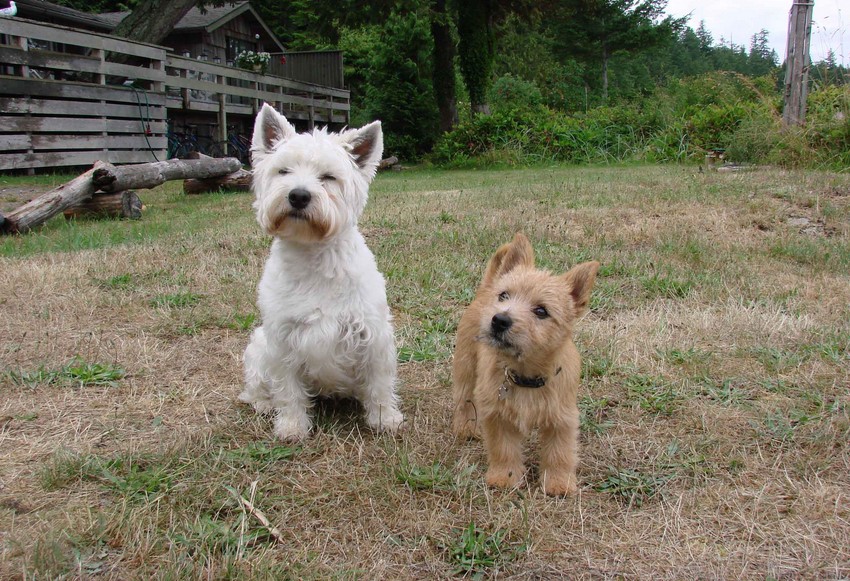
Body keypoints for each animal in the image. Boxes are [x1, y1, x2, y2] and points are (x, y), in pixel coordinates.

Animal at [238, 104, 404, 440]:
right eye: (283, 171)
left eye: (328, 177)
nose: (298, 196)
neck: (314, 255)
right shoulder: (282, 339)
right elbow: (288, 389)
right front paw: (292, 425)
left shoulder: (372, 333)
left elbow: (379, 382)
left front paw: (385, 418)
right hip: (258, 345)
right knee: (255, 386)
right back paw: (263, 403)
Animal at [450, 233, 596, 496]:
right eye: (504, 296)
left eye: (541, 311)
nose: (499, 319)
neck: (526, 375)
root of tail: (486, 289)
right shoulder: (498, 416)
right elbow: (504, 449)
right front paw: (505, 478)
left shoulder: (562, 418)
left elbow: (559, 453)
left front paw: (558, 482)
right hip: (465, 368)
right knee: (464, 399)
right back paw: (466, 427)